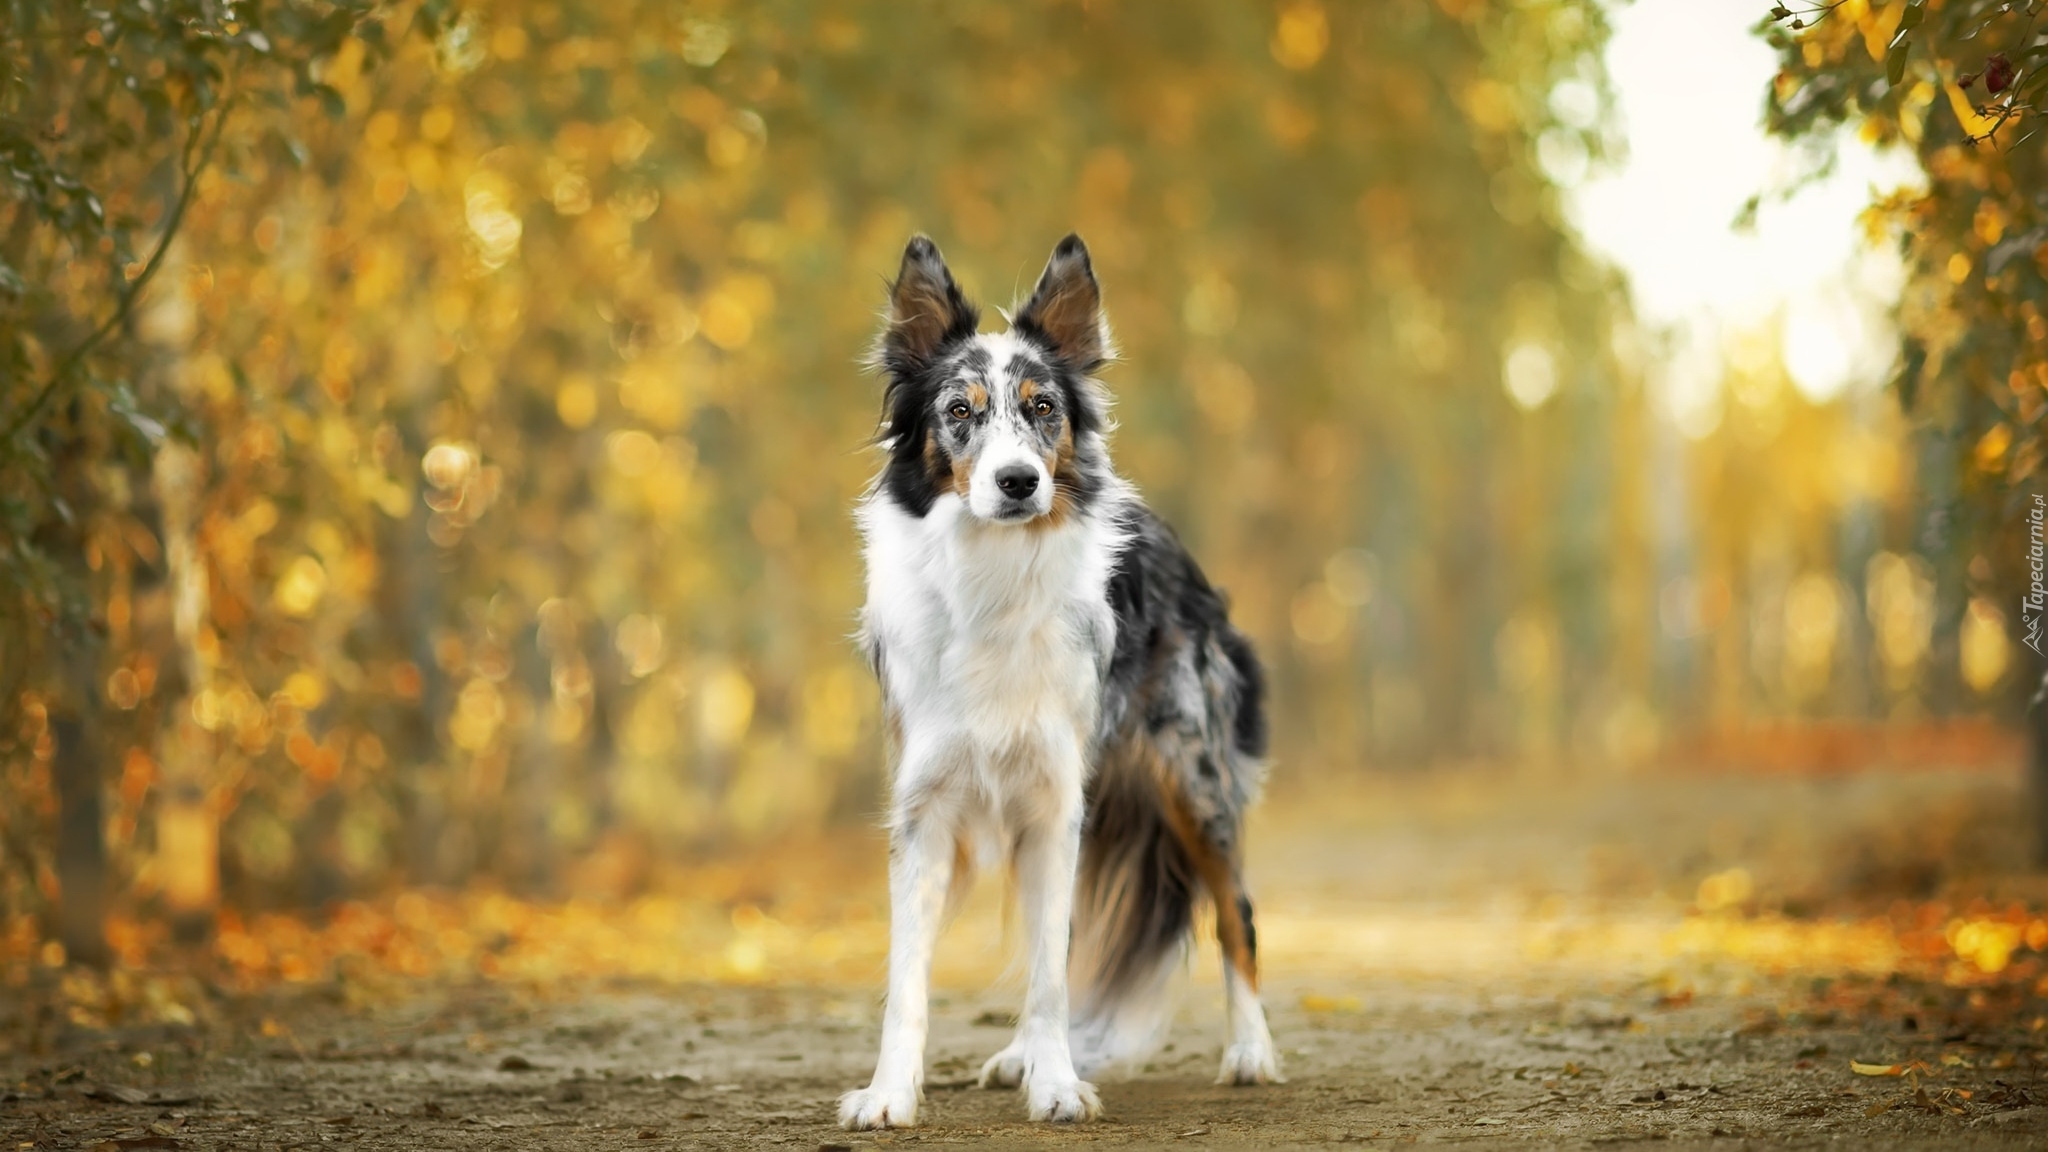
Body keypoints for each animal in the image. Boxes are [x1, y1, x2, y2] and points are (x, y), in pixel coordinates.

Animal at [839, 228, 1269, 1123]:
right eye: (959, 412)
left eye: (1043, 408)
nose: (1018, 481)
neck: (994, 578)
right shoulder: (926, 807)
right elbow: (910, 976)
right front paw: (890, 1094)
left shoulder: (1055, 796)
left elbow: (1046, 970)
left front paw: (1059, 1085)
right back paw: (1022, 1056)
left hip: (1191, 778)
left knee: (1235, 910)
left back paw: (1250, 1051)